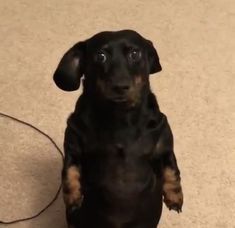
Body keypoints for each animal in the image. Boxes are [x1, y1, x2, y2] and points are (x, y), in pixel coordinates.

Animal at [53, 30, 184, 228]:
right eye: (101, 56)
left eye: (135, 54)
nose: (120, 86)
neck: (120, 118)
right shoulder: (73, 145)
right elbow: (69, 170)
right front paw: (73, 197)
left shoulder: (164, 146)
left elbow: (172, 169)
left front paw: (175, 197)